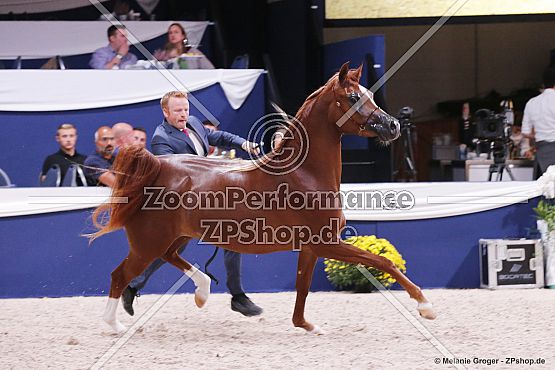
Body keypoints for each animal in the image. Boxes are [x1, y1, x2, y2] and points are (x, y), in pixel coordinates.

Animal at [91, 62, 436, 334]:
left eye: (371, 97)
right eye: (353, 98)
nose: (393, 126)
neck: (304, 175)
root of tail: (157, 165)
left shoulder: (311, 247)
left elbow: (302, 286)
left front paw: (306, 325)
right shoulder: (327, 243)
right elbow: (382, 261)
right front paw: (426, 306)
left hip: (174, 237)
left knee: (168, 258)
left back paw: (202, 292)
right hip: (148, 243)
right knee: (121, 275)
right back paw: (115, 325)